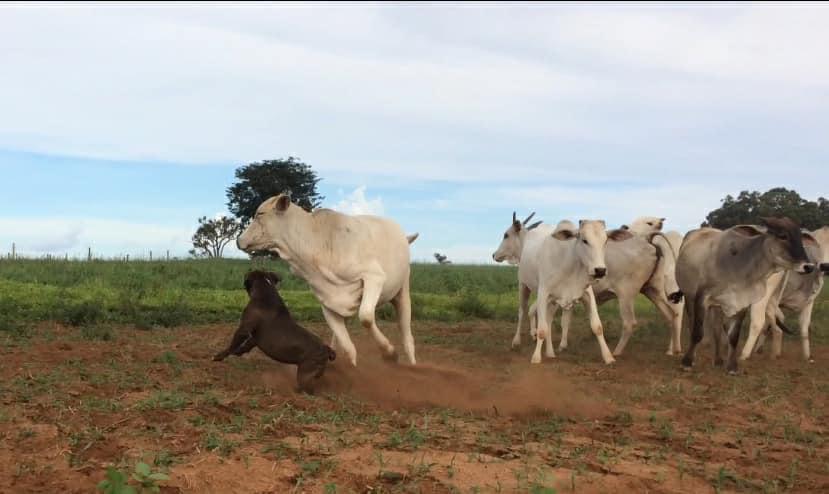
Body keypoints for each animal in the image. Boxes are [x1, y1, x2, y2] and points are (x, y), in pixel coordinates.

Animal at [238, 193, 420, 366]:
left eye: (260, 213)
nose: (239, 240)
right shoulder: (327, 302)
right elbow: (348, 347)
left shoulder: (374, 277)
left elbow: (366, 318)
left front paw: (389, 353)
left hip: (402, 292)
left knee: (407, 336)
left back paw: (412, 363)